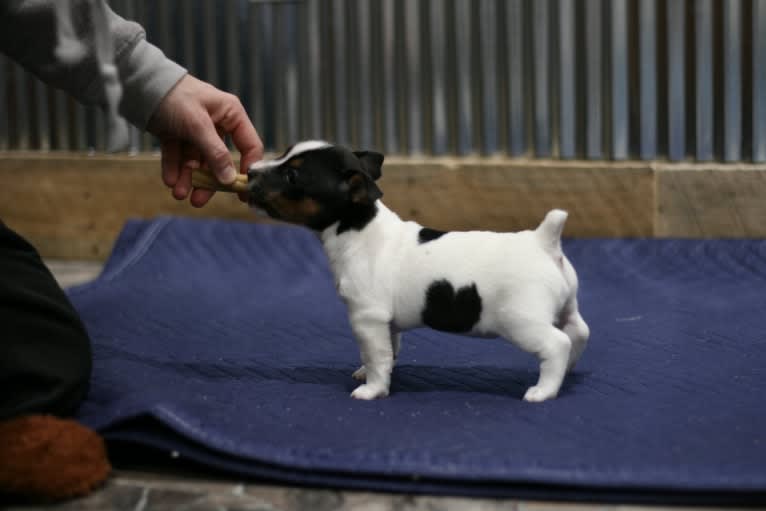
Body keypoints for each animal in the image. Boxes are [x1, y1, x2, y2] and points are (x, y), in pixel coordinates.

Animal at [249, 141, 592, 404]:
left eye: (291, 175)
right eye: (284, 154)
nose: (250, 170)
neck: (359, 228)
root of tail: (543, 241)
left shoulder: (366, 318)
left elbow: (376, 355)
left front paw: (373, 389)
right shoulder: (384, 322)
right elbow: (387, 350)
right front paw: (371, 372)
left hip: (520, 321)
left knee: (557, 343)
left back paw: (543, 390)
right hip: (566, 305)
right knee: (578, 331)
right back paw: (569, 369)